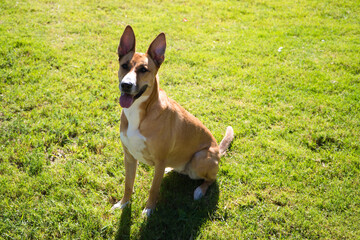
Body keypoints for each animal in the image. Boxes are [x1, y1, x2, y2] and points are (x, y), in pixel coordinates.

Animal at [113, 25, 236, 217]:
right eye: (124, 66)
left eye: (143, 70)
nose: (126, 85)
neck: (139, 112)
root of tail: (218, 151)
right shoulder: (129, 157)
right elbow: (128, 184)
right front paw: (123, 204)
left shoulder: (160, 160)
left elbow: (153, 189)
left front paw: (148, 210)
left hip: (200, 158)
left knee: (211, 179)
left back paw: (200, 190)